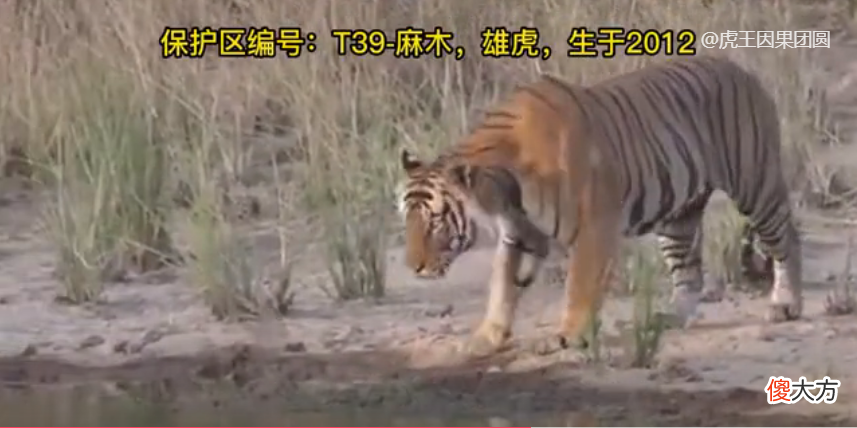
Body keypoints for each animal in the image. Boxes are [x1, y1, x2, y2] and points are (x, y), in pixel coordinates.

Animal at [396, 55, 802, 357]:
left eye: (435, 221)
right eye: (407, 221)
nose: (413, 267)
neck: (503, 192)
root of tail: (742, 69)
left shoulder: (594, 225)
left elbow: (579, 285)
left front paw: (567, 336)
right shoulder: (519, 234)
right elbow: (503, 285)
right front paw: (486, 337)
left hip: (755, 185)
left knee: (787, 238)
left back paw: (786, 305)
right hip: (678, 216)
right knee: (689, 272)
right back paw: (671, 317)